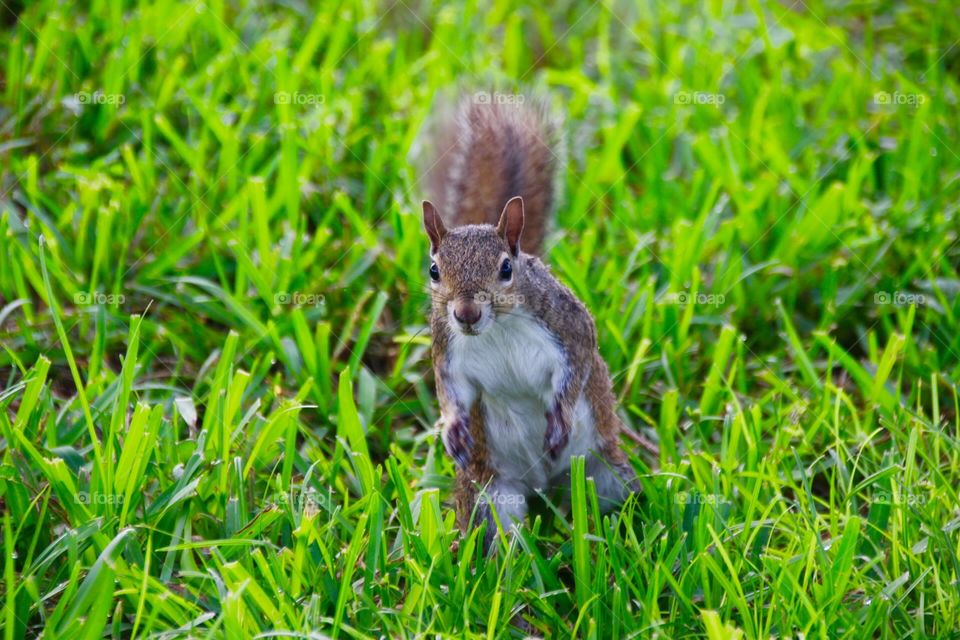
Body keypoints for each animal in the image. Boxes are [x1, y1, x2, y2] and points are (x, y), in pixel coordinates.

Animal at [418, 97, 636, 548]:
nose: (466, 314)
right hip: (491, 496)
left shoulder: (567, 325)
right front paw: (452, 428)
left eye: (506, 268)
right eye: (434, 270)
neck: (497, 327)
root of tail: (544, 485)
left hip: (607, 475)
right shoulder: (447, 349)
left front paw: (559, 420)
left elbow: (575, 367)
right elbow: (451, 389)